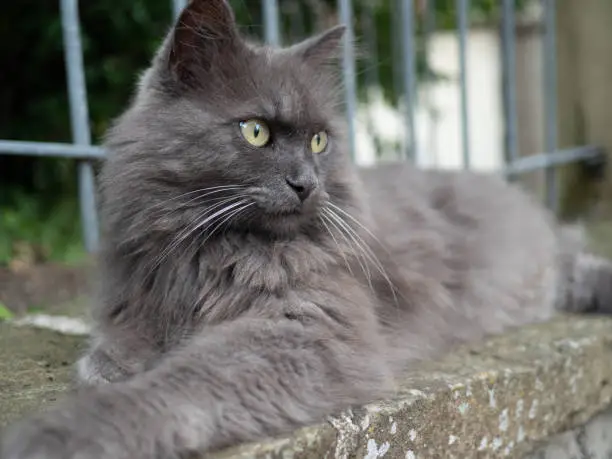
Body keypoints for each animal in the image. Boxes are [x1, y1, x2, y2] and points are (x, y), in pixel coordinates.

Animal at [1, 0, 612, 459]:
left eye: (319, 140)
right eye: (255, 131)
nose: (305, 183)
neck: (210, 252)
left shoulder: (309, 329)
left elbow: (186, 382)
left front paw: (63, 435)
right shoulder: (139, 299)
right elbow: (117, 350)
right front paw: (112, 366)